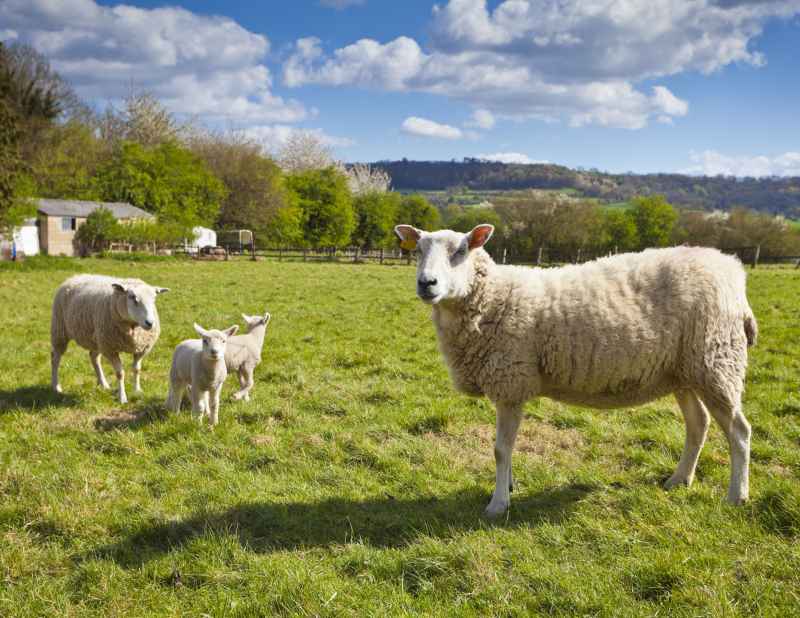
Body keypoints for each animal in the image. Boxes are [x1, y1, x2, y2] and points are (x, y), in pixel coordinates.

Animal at [396, 223, 760, 516]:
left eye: (460, 251)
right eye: (418, 250)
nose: (426, 283)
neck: (494, 298)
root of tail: (733, 271)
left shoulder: (511, 382)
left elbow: (500, 450)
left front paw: (498, 504)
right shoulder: (509, 386)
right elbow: (506, 448)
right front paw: (508, 486)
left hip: (715, 362)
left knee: (739, 431)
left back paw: (736, 496)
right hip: (684, 372)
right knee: (698, 424)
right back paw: (680, 479)